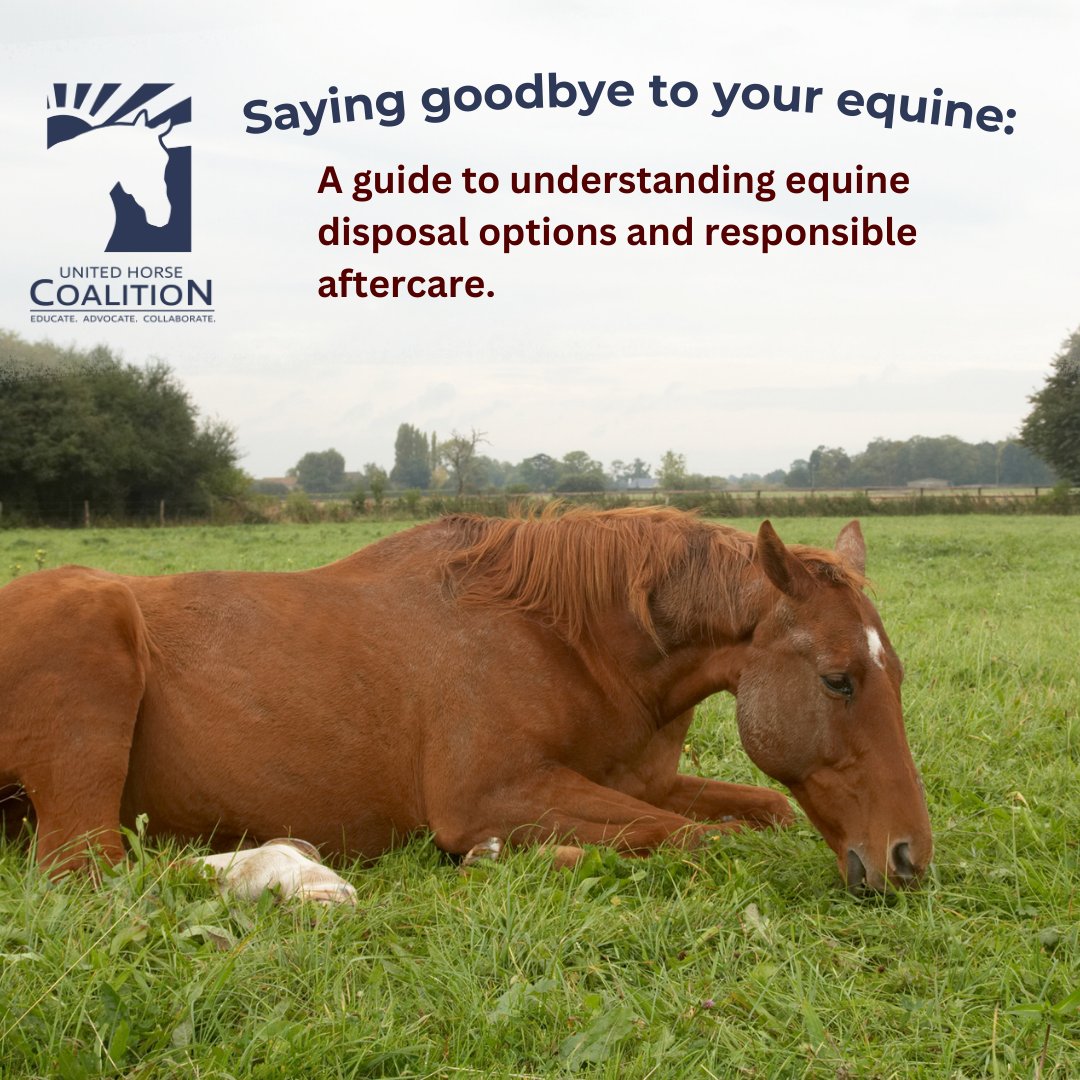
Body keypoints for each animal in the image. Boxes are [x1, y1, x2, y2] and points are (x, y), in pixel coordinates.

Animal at [0, 509, 932, 892]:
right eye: (838, 678)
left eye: (893, 677)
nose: (907, 859)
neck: (565, 641)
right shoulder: (492, 793)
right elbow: (694, 838)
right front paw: (495, 858)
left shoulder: (644, 782)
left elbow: (760, 812)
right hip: (95, 660)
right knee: (91, 867)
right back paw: (295, 875)